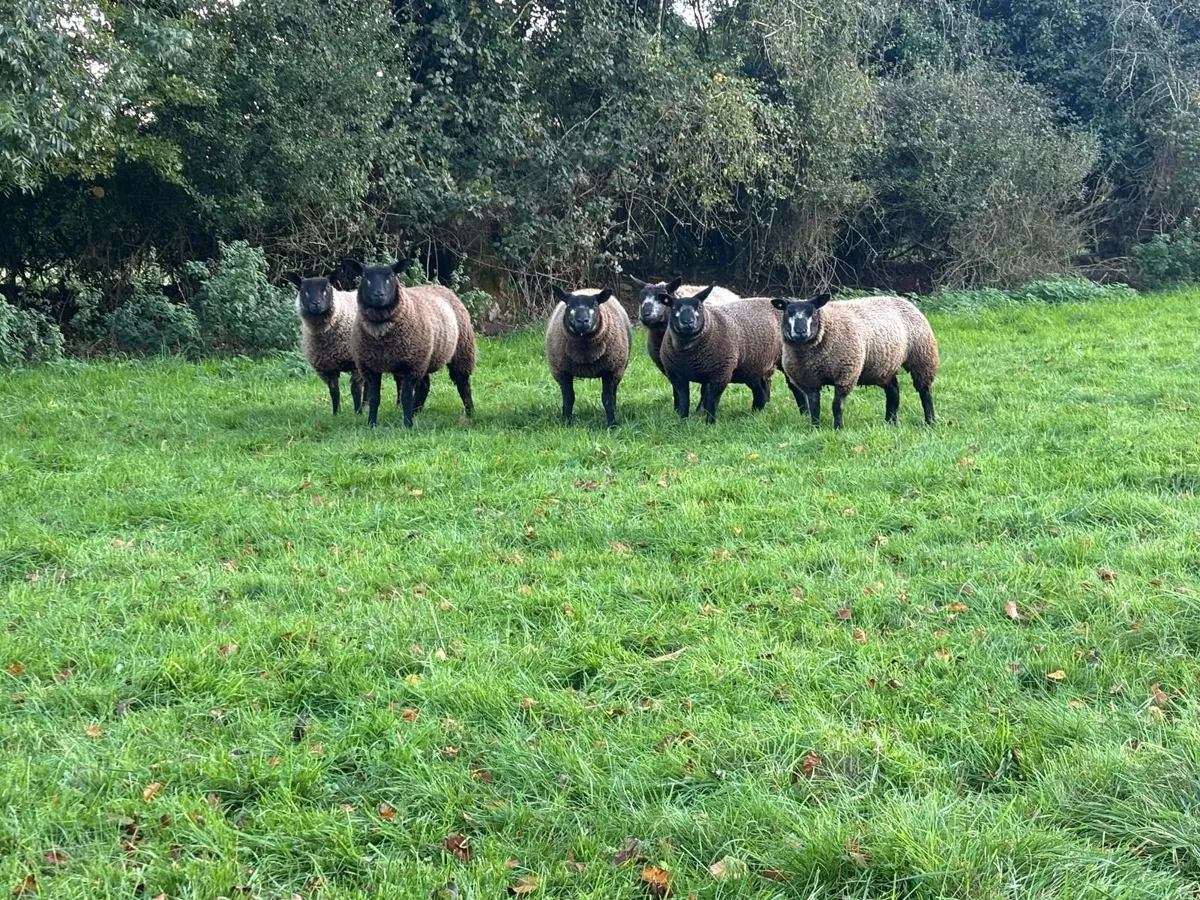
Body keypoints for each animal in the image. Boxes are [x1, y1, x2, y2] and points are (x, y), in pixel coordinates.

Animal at [287, 273, 364, 415]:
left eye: (327, 287)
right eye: (303, 288)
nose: (316, 304)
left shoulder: (356, 364)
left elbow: (356, 390)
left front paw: (358, 413)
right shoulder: (327, 366)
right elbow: (334, 392)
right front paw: (336, 414)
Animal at [346, 259, 477, 428]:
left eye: (392, 275)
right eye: (364, 276)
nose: (379, 295)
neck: (381, 338)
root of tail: (440, 286)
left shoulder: (411, 366)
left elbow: (406, 397)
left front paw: (407, 425)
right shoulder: (370, 367)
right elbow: (374, 398)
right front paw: (371, 424)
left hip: (461, 350)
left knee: (463, 384)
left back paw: (470, 412)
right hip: (425, 356)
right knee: (424, 386)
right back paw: (416, 411)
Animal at [545, 285, 632, 427]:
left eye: (595, 305)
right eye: (569, 304)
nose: (583, 321)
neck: (585, 355)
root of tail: (589, 288)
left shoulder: (610, 371)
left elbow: (607, 399)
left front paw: (612, 424)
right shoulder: (563, 372)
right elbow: (568, 398)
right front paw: (567, 422)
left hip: (619, 369)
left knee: (614, 391)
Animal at [658, 287, 785, 422]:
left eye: (700, 307)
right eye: (673, 308)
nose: (688, 322)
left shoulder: (720, 373)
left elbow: (712, 401)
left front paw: (710, 422)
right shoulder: (676, 376)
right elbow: (684, 401)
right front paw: (683, 421)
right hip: (751, 366)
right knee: (760, 392)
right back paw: (755, 414)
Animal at [771, 293, 939, 429]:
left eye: (813, 312)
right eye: (787, 312)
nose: (800, 332)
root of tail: (902, 299)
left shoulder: (845, 375)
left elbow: (837, 406)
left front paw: (838, 429)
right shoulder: (809, 380)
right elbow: (814, 408)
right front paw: (815, 428)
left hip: (922, 357)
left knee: (925, 391)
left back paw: (930, 421)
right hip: (884, 366)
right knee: (893, 391)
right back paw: (890, 422)